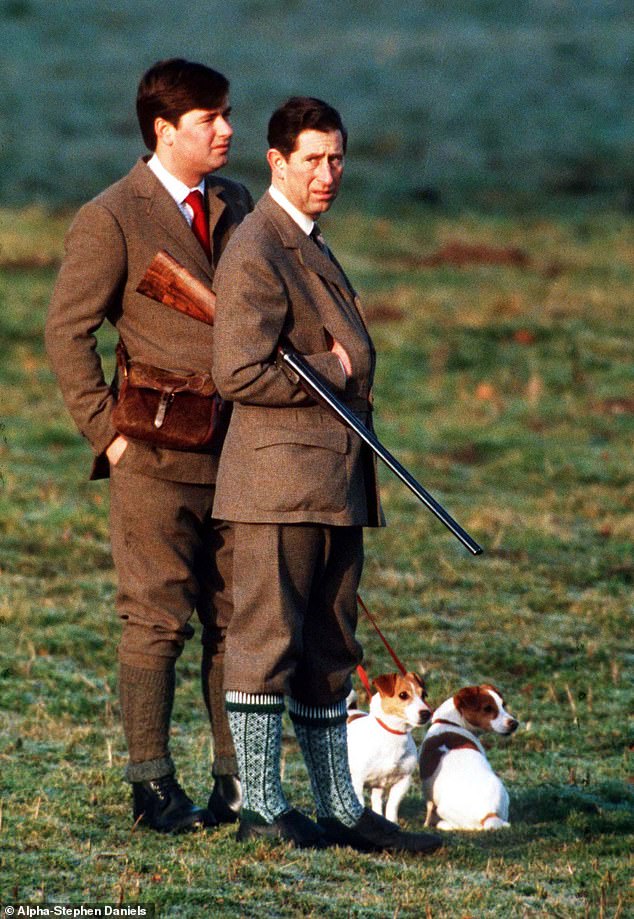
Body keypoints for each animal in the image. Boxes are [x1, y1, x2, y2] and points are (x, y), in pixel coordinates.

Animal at [346, 668, 430, 828]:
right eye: (403, 695)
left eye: (423, 695)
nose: (427, 713)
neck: (393, 735)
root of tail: (350, 711)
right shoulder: (357, 783)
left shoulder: (403, 781)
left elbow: (392, 806)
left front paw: (393, 823)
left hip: (378, 784)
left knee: (376, 801)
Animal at [418, 684, 516, 832]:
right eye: (487, 708)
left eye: (503, 705)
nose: (515, 723)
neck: (450, 722)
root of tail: (489, 815)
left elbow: (429, 809)